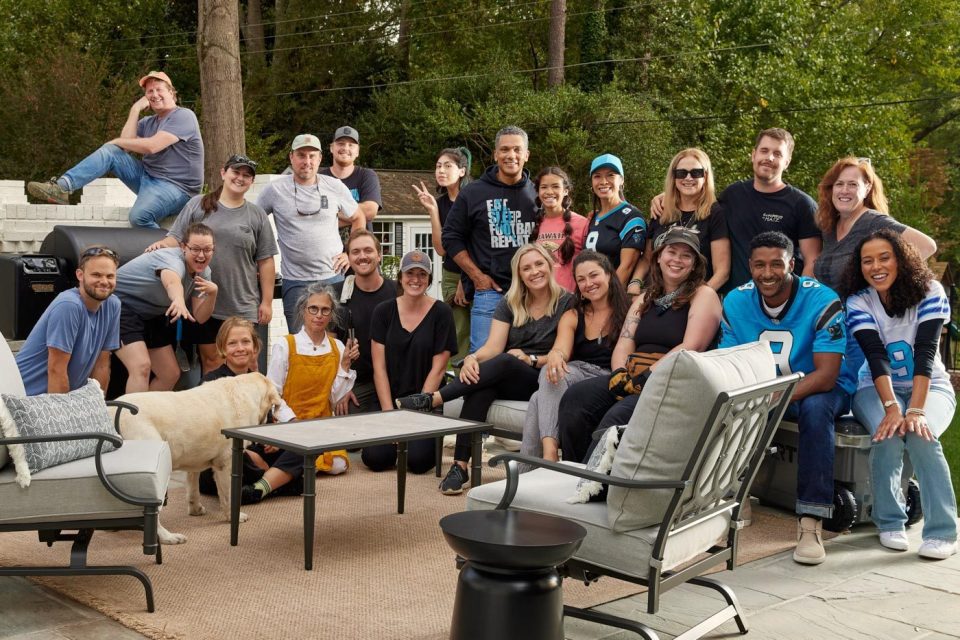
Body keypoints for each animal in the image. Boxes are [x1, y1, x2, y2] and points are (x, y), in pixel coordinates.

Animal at [115, 372, 282, 544]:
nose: (274, 421)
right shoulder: (226, 462)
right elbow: (228, 496)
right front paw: (233, 517)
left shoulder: (194, 459)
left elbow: (193, 487)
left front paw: (195, 509)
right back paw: (168, 537)